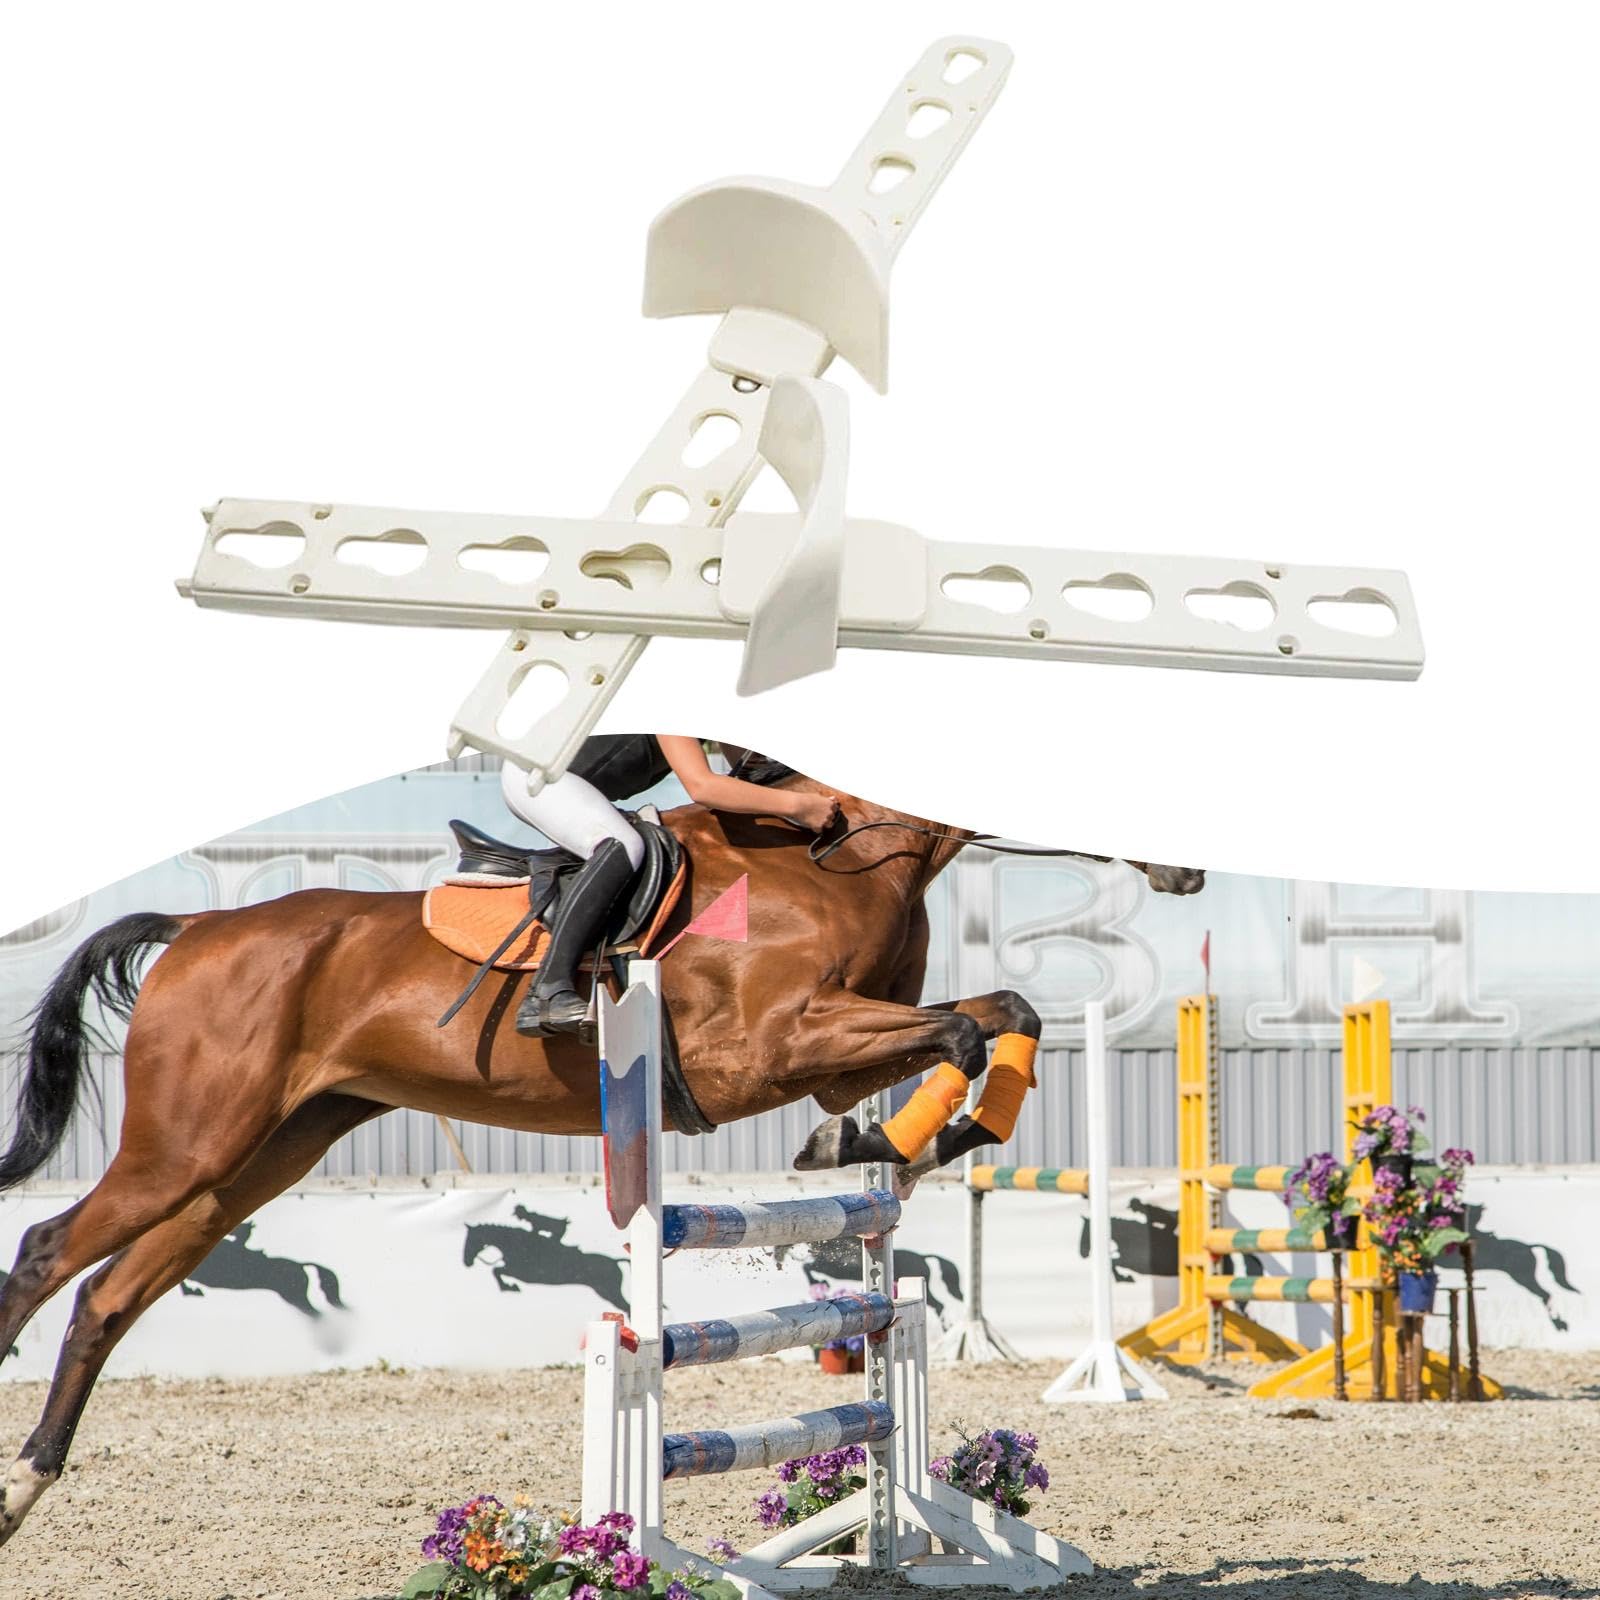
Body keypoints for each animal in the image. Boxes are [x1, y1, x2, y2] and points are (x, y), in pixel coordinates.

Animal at [0, 766, 1203, 1545]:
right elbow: (962, 1029)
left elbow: (1000, 1017)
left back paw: (27, 1484)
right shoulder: (772, 1048)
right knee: (48, 1249)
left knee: (106, 1297)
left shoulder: (833, 1050)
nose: (1190, 866)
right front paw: (883, 1143)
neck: (837, 861)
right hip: (186, 1144)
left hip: (254, 1160)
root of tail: (194, 932)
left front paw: (887, 1142)